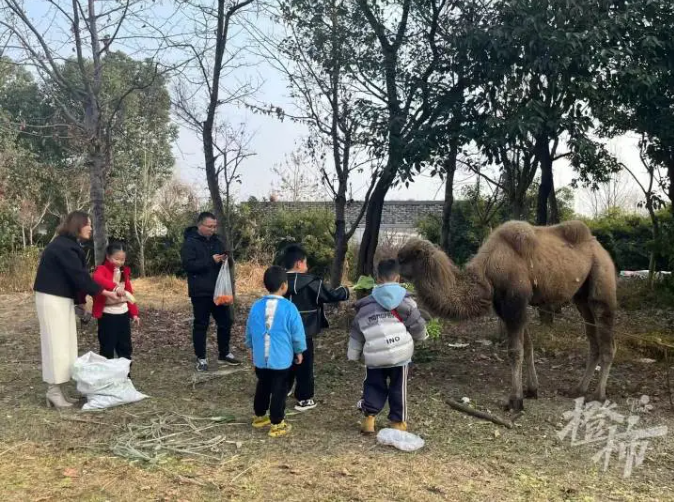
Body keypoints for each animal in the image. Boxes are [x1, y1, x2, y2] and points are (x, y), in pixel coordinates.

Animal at [396, 220, 616, 412]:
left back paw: (598, 395)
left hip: (602, 283)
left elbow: (515, 351)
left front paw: (515, 401)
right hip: (581, 298)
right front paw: (532, 390)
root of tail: (601, 248)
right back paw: (578, 389)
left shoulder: (515, 303)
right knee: (593, 341)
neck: (488, 270)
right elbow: (527, 347)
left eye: (402, 259)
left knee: (607, 342)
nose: (391, 269)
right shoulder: (506, 306)